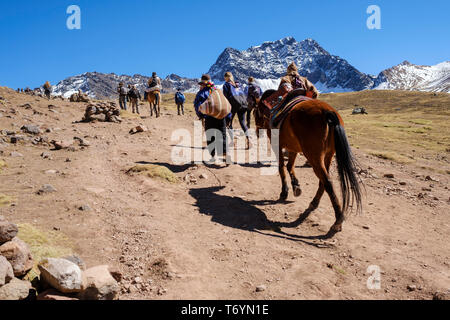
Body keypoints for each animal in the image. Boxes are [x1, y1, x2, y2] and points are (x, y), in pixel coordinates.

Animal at [255, 89, 364, 234]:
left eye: (255, 111)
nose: (257, 130)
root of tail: (327, 112)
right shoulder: (293, 148)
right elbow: (290, 166)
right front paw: (296, 186)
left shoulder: (277, 144)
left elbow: (281, 167)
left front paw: (284, 192)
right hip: (328, 155)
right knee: (323, 181)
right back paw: (314, 203)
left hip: (314, 156)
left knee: (327, 181)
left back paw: (338, 220)